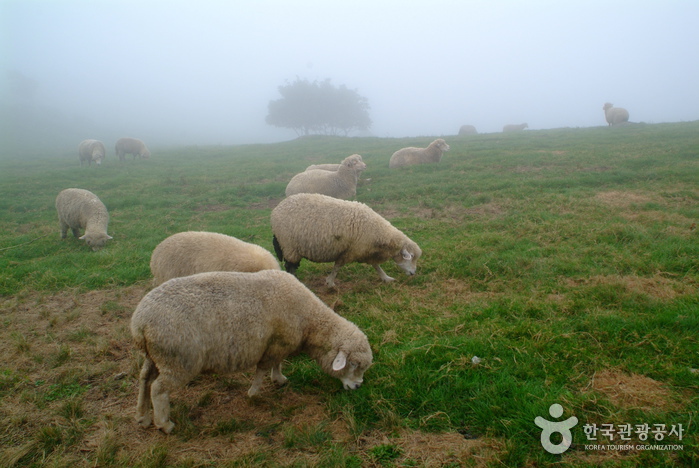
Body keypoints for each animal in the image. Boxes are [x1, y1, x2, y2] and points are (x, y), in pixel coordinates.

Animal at [131, 269, 373, 434]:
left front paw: (279, 379)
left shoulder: (279, 344)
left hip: (155, 357)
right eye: (353, 364)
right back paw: (164, 424)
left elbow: (277, 364)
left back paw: (142, 416)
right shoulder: (275, 345)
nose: (358, 387)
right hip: (179, 360)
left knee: (144, 380)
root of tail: (140, 322)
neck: (309, 320)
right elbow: (262, 369)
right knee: (158, 389)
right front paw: (254, 393)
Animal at [271, 193, 422, 287]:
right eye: (410, 257)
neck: (378, 231)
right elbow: (337, 266)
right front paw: (330, 283)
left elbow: (376, 266)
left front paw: (386, 278)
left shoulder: (365, 250)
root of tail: (277, 209)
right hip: (289, 246)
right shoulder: (351, 251)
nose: (413, 273)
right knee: (290, 266)